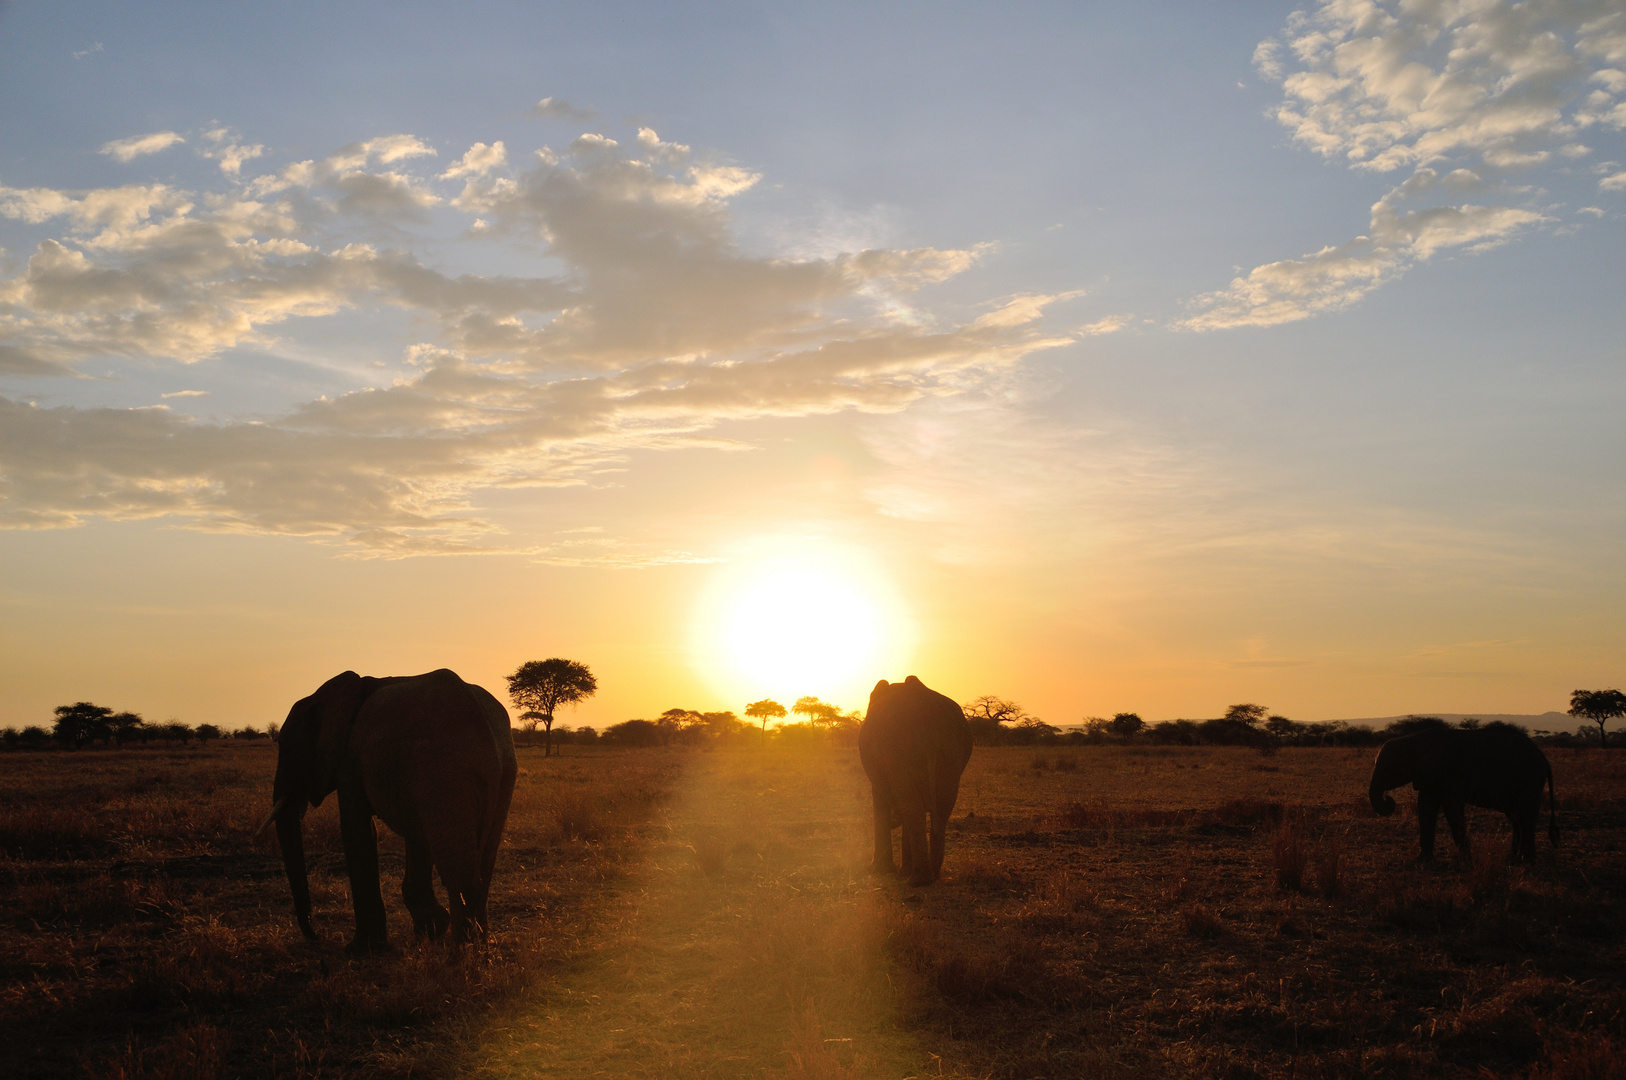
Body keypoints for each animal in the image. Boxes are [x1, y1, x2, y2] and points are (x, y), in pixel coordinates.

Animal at [261, 666, 513, 956]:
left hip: (446, 766)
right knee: (483, 863)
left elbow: (357, 830)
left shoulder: (350, 760)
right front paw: (430, 928)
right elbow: (416, 837)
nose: (317, 937)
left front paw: (360, 950)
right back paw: (480, 949)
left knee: (458, 870)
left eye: (285, 747)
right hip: (502, 775)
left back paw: (461, 956)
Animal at [858, 676, 969, 884]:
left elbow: (881, 799)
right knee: (941, 808)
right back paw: (932, 876)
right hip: (950, 755)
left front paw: (879, 871)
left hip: (899, 752)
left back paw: (918, 881)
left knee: (911, 806)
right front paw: (899, 871)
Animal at [1365, 722, 1554, 865]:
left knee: (1525, 815)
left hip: (1529, 779)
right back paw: (1513, 858)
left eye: (1390, 768)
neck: (1413, 739)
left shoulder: (1449, 773)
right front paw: (1423, 861)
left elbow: (1451, 807)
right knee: (1516, 817)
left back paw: (1526, 861)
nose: (1388, 799)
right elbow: (1425, 807)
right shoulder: (1430, 775)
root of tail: (1544, 758)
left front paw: (1465, 860)